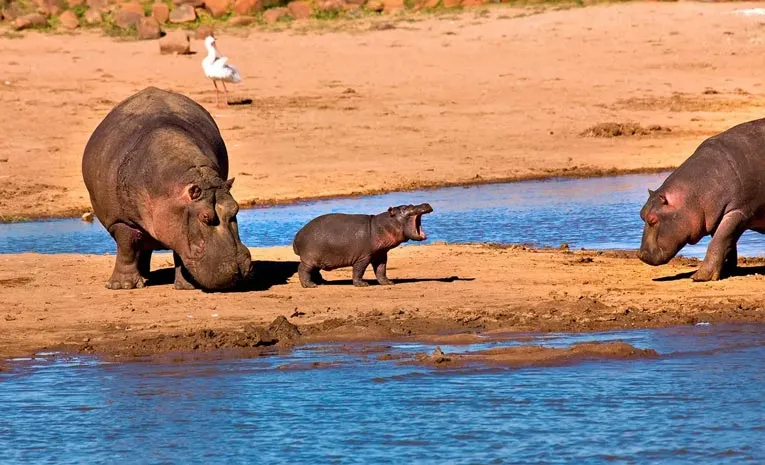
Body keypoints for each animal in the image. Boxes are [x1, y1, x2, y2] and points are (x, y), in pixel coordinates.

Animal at [83, 86, 251, 290]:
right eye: (205, 217)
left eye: (235, 208)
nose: (240, 268)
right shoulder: (121, 221)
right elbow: (127, 247)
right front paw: (121, 286)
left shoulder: (177, 223)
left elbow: (180, 251)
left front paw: (186, 286)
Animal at [292, 203, 432, 286]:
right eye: (404, 208)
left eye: (410, 204)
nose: (425, 204)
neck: (380, 226)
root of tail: (297, 235)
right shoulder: (363, 257)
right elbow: (359, 270)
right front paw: (362, 284)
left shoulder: (380, 255)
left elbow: (381, 270)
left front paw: (388, 282)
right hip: (310, 259)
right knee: (302, 269)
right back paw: (310, 285)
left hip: (318, 260)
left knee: (314, 271)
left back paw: (321, 282)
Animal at [636, 118, 765, 280]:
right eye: (641, 214)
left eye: (652, 219)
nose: (640, 254)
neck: (693, 195)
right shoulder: (716, 216)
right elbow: (726, 243)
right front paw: (727, 270)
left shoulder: (739, 212)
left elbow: (718, 241)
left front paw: (700, 277)